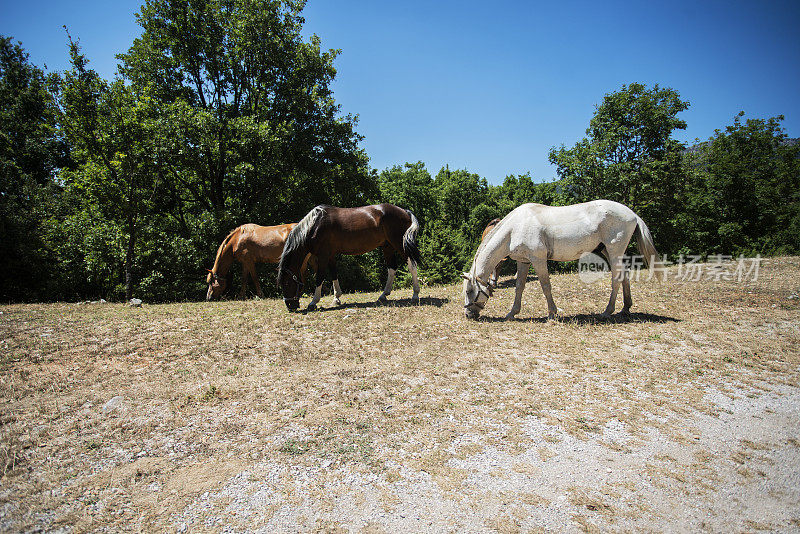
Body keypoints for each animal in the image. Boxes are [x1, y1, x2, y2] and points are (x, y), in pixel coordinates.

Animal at [278, 205, 422, 314]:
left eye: (287, 283)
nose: (290, 306)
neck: (315, 225)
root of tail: (405, 211)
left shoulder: (323, 256)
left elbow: (319, 277)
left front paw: (313, 302)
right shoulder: (330, 255)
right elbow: (334, 274)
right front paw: (336, 298)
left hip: (399, 244)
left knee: (412, 265)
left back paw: (415, 295)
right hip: (387, 246)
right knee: (392, 269)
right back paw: (383, 295)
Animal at [462, 200, 664, 318]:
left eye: (469, 291)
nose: (468, 314)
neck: (515, 227)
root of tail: (632, 214)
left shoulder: (538, 260)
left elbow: (545, 286)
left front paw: (552, 313)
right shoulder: (524, 261)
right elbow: (519, 287)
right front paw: (512, 313)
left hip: (614, 251)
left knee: (616, 278)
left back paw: (608, 311)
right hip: (608, 251)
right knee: (625, 274)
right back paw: (626, 307)